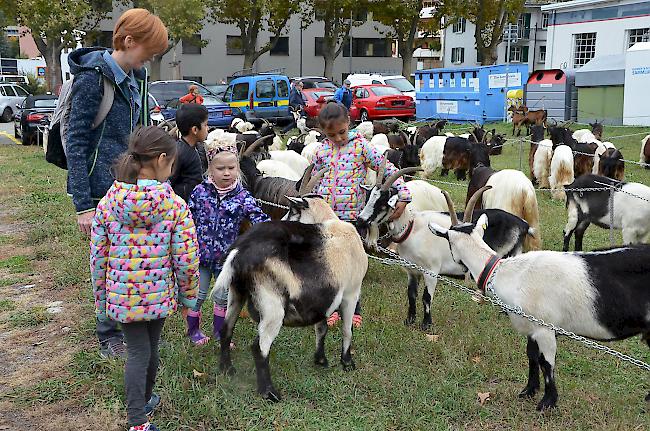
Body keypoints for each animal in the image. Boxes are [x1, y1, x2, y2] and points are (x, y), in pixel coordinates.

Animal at [211, 174, 364, 404]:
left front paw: (320, 360)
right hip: (272, 306)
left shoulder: (322, 297)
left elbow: (321, 328)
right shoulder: (350, 294)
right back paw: (269, 392)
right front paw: (347, 363)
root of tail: (240, 251)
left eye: (292, 212)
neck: (332, 227)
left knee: (226, 329)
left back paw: (227, 369)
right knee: (259, 348)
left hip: (237, 293)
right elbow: (347, 330)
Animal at [354, 163, 532, 330]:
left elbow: (426, 297)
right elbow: (411, 295)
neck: (412, 228)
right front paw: (409, 321)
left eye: (382, 202)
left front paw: (426, 324)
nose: (361, 220)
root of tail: (522, 224)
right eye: (369, 197)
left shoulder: (431, 270)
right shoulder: (411, 270)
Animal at [430, 186, 650, 412]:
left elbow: (547, 363)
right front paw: (528, 390)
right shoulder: (531, 328)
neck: (507, 273)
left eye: (447, 240)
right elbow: (531, 356)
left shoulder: (545, 329)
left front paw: (547, 402)